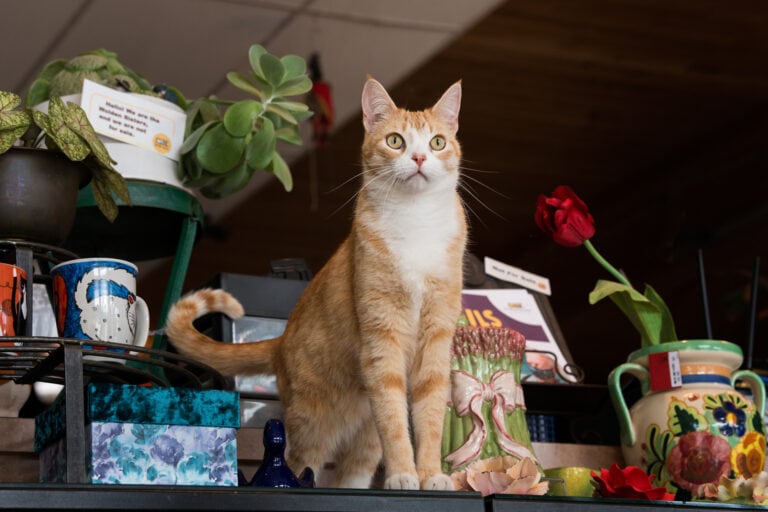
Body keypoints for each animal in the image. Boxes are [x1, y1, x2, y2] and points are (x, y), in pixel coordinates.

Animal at [166, 77, 468, 492]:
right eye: (395, 141)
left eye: (437, 142)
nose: (420, 158)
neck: (416, 220)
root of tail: (279, 341)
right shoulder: (382, 336)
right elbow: (394, 421)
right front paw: (403, 475)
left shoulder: (437, 336)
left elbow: (431, 413)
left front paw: (431, 475)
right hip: (312, 425)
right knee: (300, 462)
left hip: (363, 440)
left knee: (350, 474)